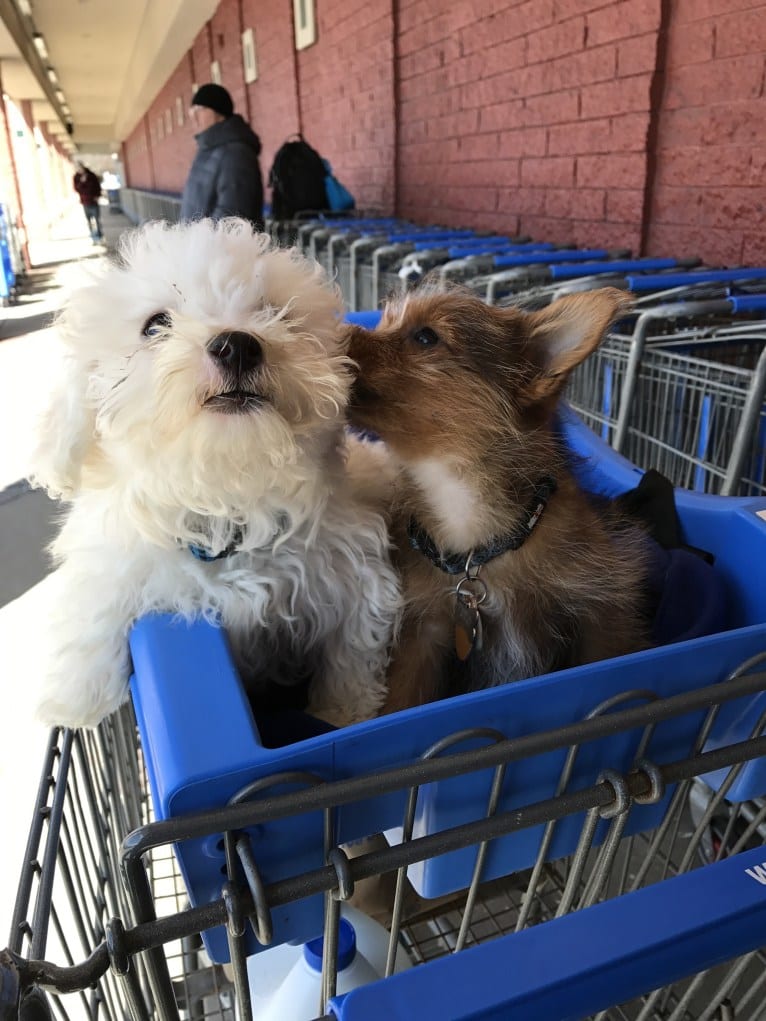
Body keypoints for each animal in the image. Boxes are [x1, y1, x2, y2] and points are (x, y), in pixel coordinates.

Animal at [30, 217, 402, 726]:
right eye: (155, 325)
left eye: (276, 312)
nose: (237, 345)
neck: (227, 495)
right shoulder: (121, 548)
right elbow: (98, 594)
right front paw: (74, 697)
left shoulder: (353, 565)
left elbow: (352, 651)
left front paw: (342, 714)